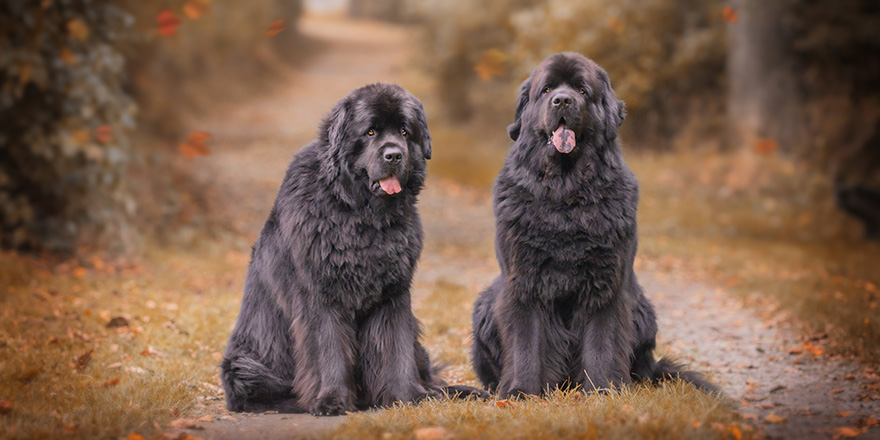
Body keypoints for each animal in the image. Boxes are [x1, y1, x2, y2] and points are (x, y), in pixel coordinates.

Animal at [220, 82, 482, 416]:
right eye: (370, 132)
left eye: (405, 131)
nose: (394, 155)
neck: (360, 215)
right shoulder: (321, 294)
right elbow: (329, 350)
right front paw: (331, 400)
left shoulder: (393, 294)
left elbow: (395, 349)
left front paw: (407, 397)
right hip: (243, 365)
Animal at [474, 53, 716, 398]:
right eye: (546, 89)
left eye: (582, 90)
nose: (562, 100)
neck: (565, 192)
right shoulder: (523, 281)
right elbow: (525, 340)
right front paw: (521, 391)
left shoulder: (606, 282)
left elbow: (603, 340)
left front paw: (603, 390)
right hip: (483, 305)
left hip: (643, 310)